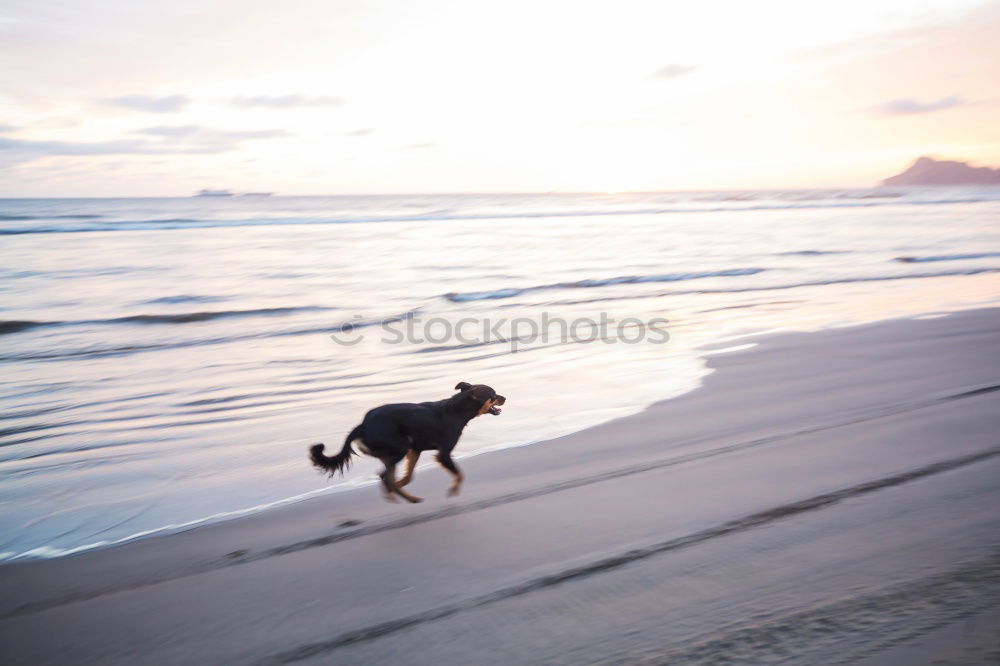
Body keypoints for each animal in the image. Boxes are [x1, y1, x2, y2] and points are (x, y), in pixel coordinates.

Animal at [308, 382, 504, 500]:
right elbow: (460, 474)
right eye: (494, 395)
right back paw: (408, 498)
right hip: (400, 447)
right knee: (384, 475)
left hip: (395, 451)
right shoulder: (443, 454)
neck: (457, 410)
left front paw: (399, 484)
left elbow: (409, 476)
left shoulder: (415, 450)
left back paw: (396, 493)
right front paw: (453, 489)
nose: (505, 397)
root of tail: (363, 425)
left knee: (386, 476)